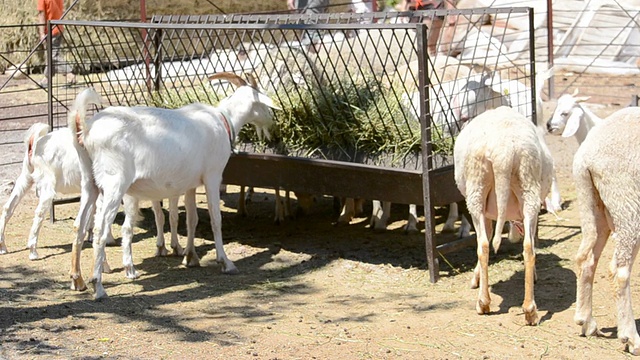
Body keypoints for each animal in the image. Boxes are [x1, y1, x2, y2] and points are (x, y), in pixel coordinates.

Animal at [456, 105, 556, 324]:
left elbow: (487, 235)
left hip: (476, 190)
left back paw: (483, 303)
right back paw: (530, 310)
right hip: (528, 188)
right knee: (528, 247)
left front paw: (476, 278)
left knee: (483, 245)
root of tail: (503, 152)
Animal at [572, 106, 640, 354]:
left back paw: (586, 322)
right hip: (627, 202)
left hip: (593, 204)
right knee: (619, 271)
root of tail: (585, 155)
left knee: (585, 258)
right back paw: (631, 337)